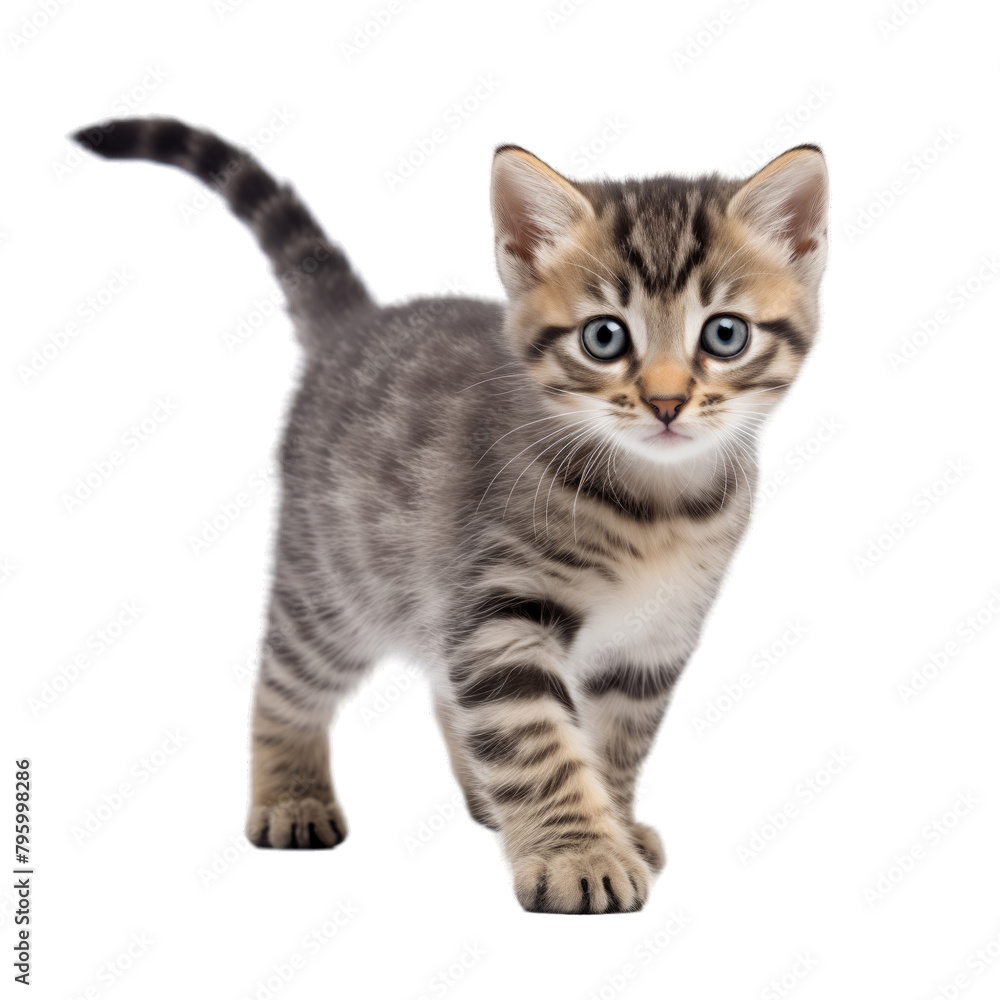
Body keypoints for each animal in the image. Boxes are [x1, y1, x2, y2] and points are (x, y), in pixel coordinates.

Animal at [74, 117, 828, 916]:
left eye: (724, 335)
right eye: (604, 337)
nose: (665, 402)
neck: (660, 503)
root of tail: (361, 325)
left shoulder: (652, 641)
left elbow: (612, 742)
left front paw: (614, 825)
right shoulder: (501, 607)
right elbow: (539, 741)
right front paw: (579, 854)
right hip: (336, 580)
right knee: (285, 679)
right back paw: (291, 795)